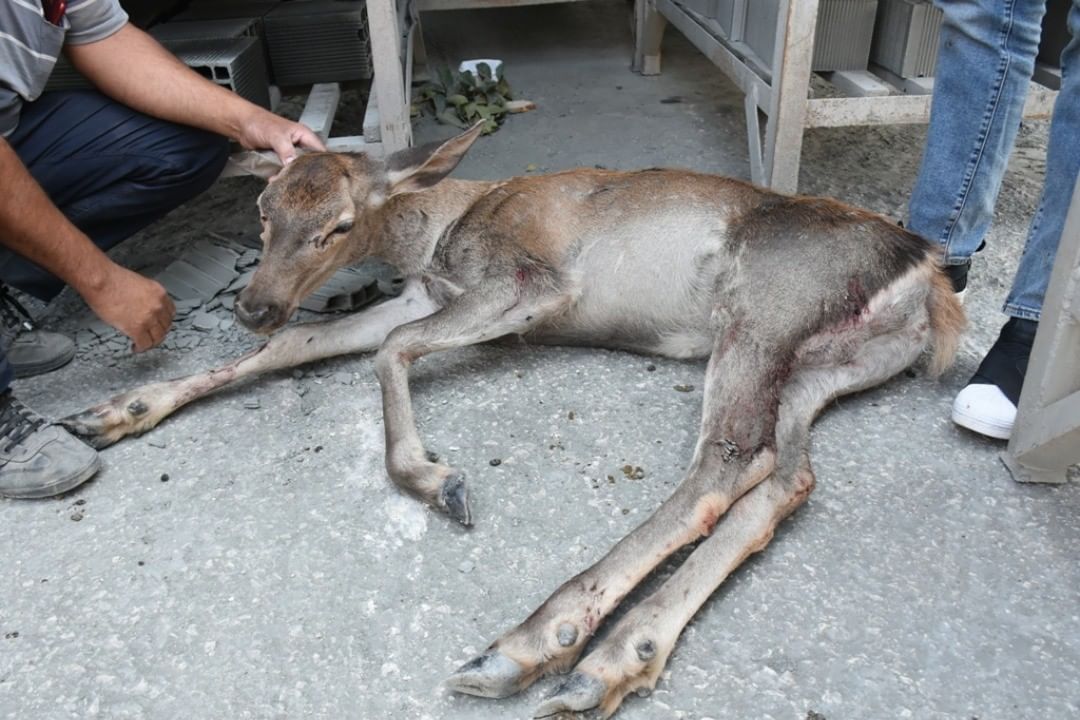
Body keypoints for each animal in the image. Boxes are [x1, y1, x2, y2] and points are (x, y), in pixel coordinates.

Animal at [63, 122, 967, 716]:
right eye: (262, 207)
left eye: (339, 225)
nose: (253, 305)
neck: (435, 236)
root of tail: (929, 281)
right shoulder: (429, 294)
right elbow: (313, 342)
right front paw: (115, 412)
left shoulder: (528, 282)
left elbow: (388, 348)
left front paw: (436, 480)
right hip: (818, 367)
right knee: (787, 476)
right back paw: (613, 660)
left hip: (764, 308)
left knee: (726, 460)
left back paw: (538, 642)